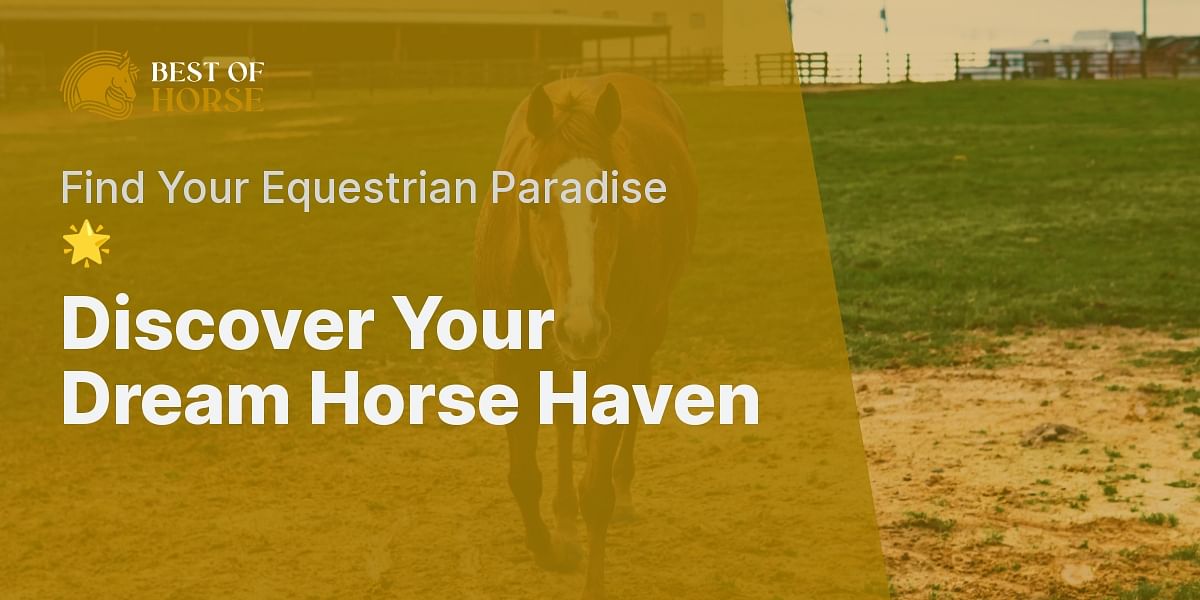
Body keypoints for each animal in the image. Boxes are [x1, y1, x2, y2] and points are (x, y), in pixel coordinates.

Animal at [474, 73, 697, 599]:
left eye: (615, 197)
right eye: (533, 198)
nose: (582, 326)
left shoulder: (616, 354)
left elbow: (595, 490)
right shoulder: (512, 361)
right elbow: (523, 475)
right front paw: (549, 550)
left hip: (642, 332)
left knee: (636, 397)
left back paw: (623, 492)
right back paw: (563, 522)